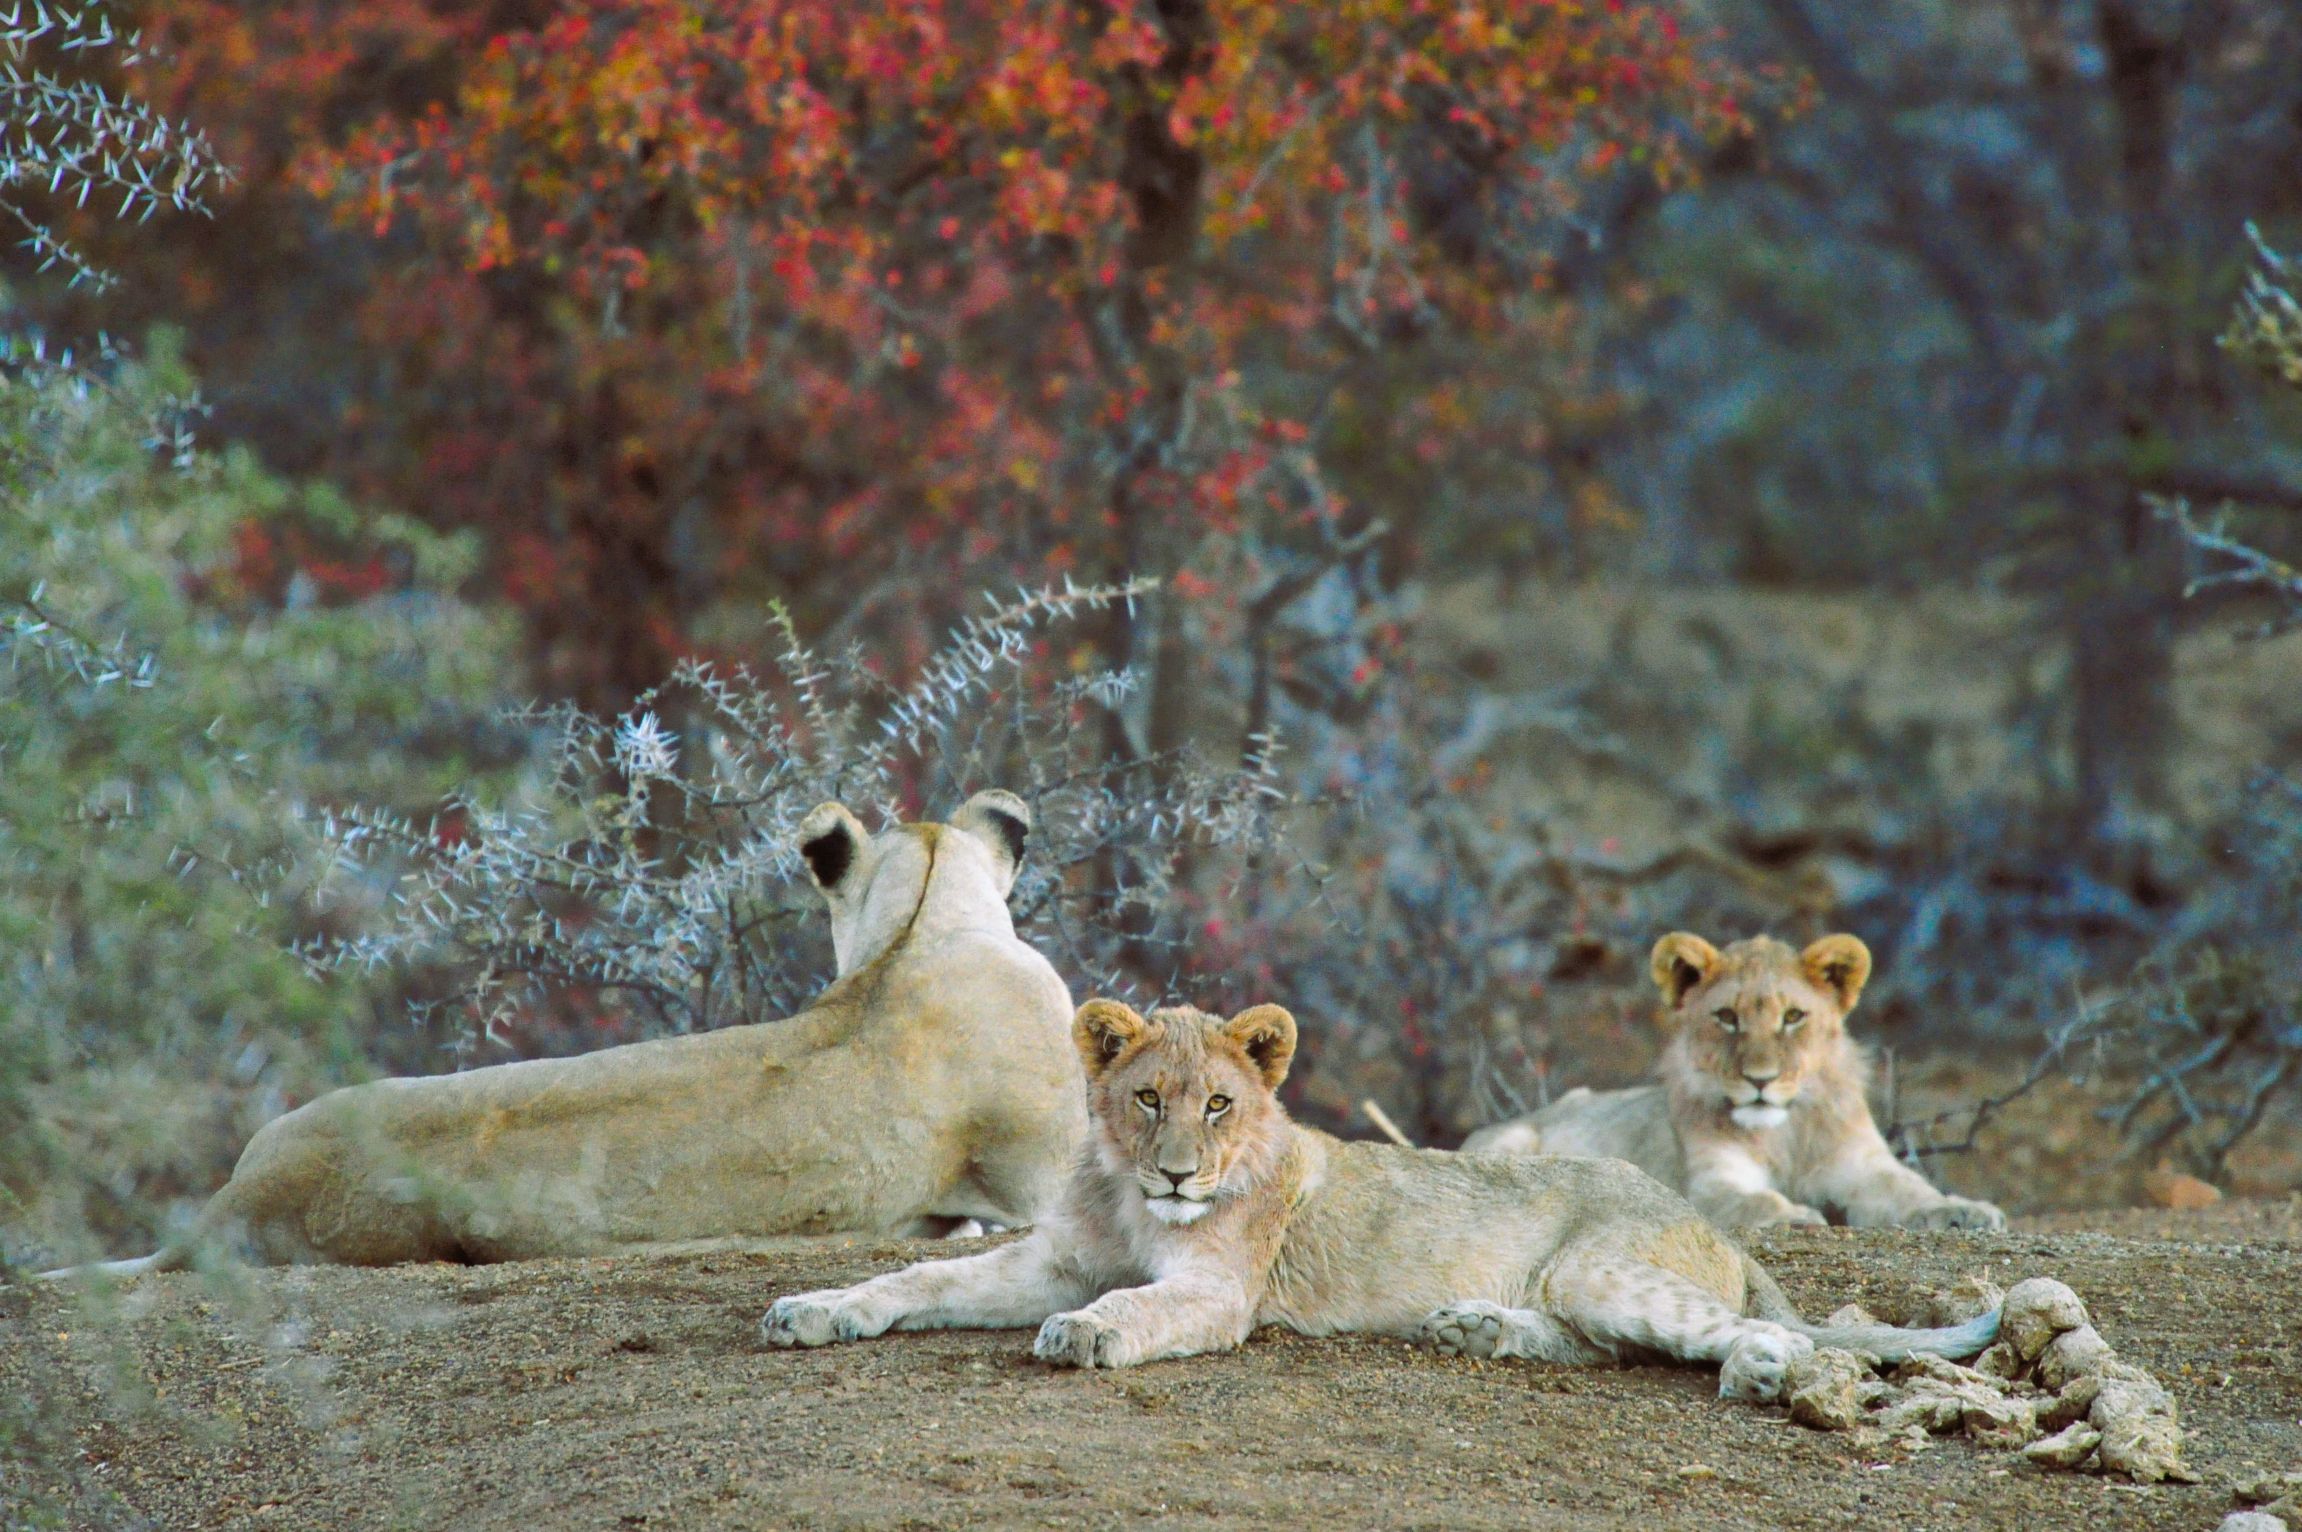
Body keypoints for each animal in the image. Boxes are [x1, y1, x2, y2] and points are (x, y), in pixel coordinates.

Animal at [762, 998, 1998, 1401]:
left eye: (1218, 1104)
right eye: (1147, 1096)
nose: (1177, 1172)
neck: (1129, 1198)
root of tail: (1708, 1224)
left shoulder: (1218, 1294)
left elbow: (1135, 1306)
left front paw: (1084, 1334)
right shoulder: (1046, 1255)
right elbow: (923, 1273)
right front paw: (816, 1309)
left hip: (1604, 1263)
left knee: (1752, 1334)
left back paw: (1758, 1370)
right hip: (1583, 1286)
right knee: (1605, 1342)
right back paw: (1479, 1326)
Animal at [1459, 933, 2005, 1231]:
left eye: (1792, 1016)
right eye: (1726, 1017)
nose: (1759, 1080)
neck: (1783, 1133)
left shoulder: (1863, 1165)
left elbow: (1911, 1189)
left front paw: (1963, 1211)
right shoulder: (1709, 1180)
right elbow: (1752, 1198)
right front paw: (1793, 1215)